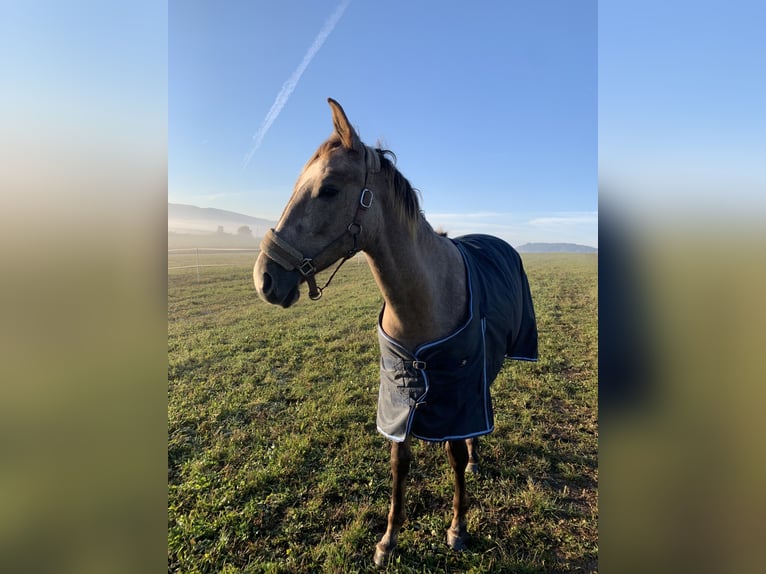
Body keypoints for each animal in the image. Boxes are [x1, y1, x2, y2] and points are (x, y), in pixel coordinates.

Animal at [253, 98, 538, 566]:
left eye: (328, 189)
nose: (264, 279)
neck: (425, 295)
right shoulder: (398, 392)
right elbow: (399, 461)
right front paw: (388, 539)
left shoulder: (457, 389)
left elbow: (453, 452)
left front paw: (457, 527)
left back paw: (476, 458)